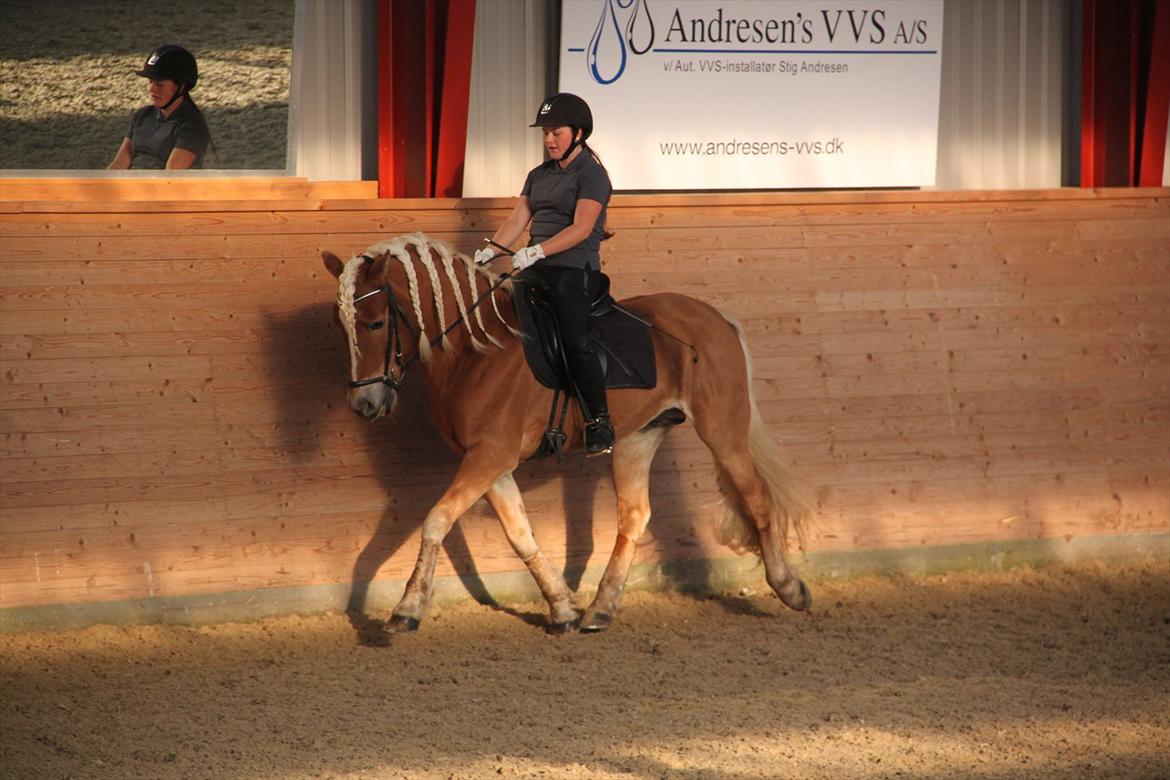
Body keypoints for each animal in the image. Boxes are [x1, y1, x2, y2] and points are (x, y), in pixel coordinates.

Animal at [320, 233, 814, 636]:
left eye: (376, 322)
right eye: (341, 326)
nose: (364, 405)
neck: (476, 351)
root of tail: (713, 316)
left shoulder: (490, 456)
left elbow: (437, 519)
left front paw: (407, 608)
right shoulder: (489, 463)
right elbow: (520, 535)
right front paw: (563, 609)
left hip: (722, 430)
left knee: (756, 499)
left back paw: (790, 589)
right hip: (638, 437)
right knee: (634, 516)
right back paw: (601, 608)